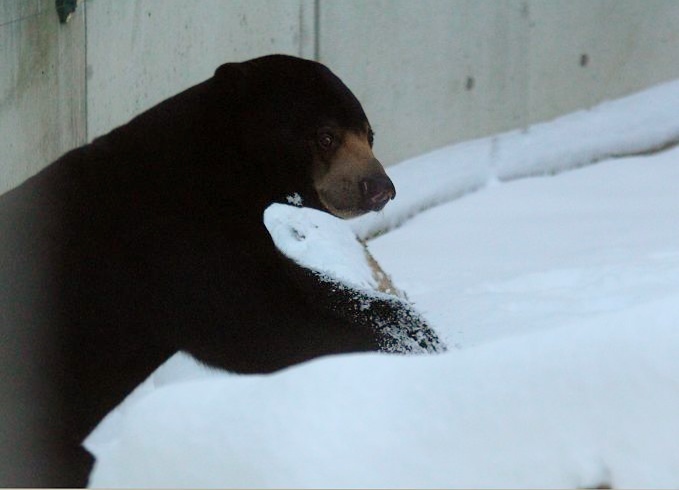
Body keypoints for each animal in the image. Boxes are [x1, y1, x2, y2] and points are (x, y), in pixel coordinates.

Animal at [0, 54, 446, 486]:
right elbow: (259, 321)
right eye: (325, 136)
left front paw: (419, 338)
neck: (226, 177)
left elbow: (302, 290)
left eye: (369, 135)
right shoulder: (173, 242)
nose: (381, 187)